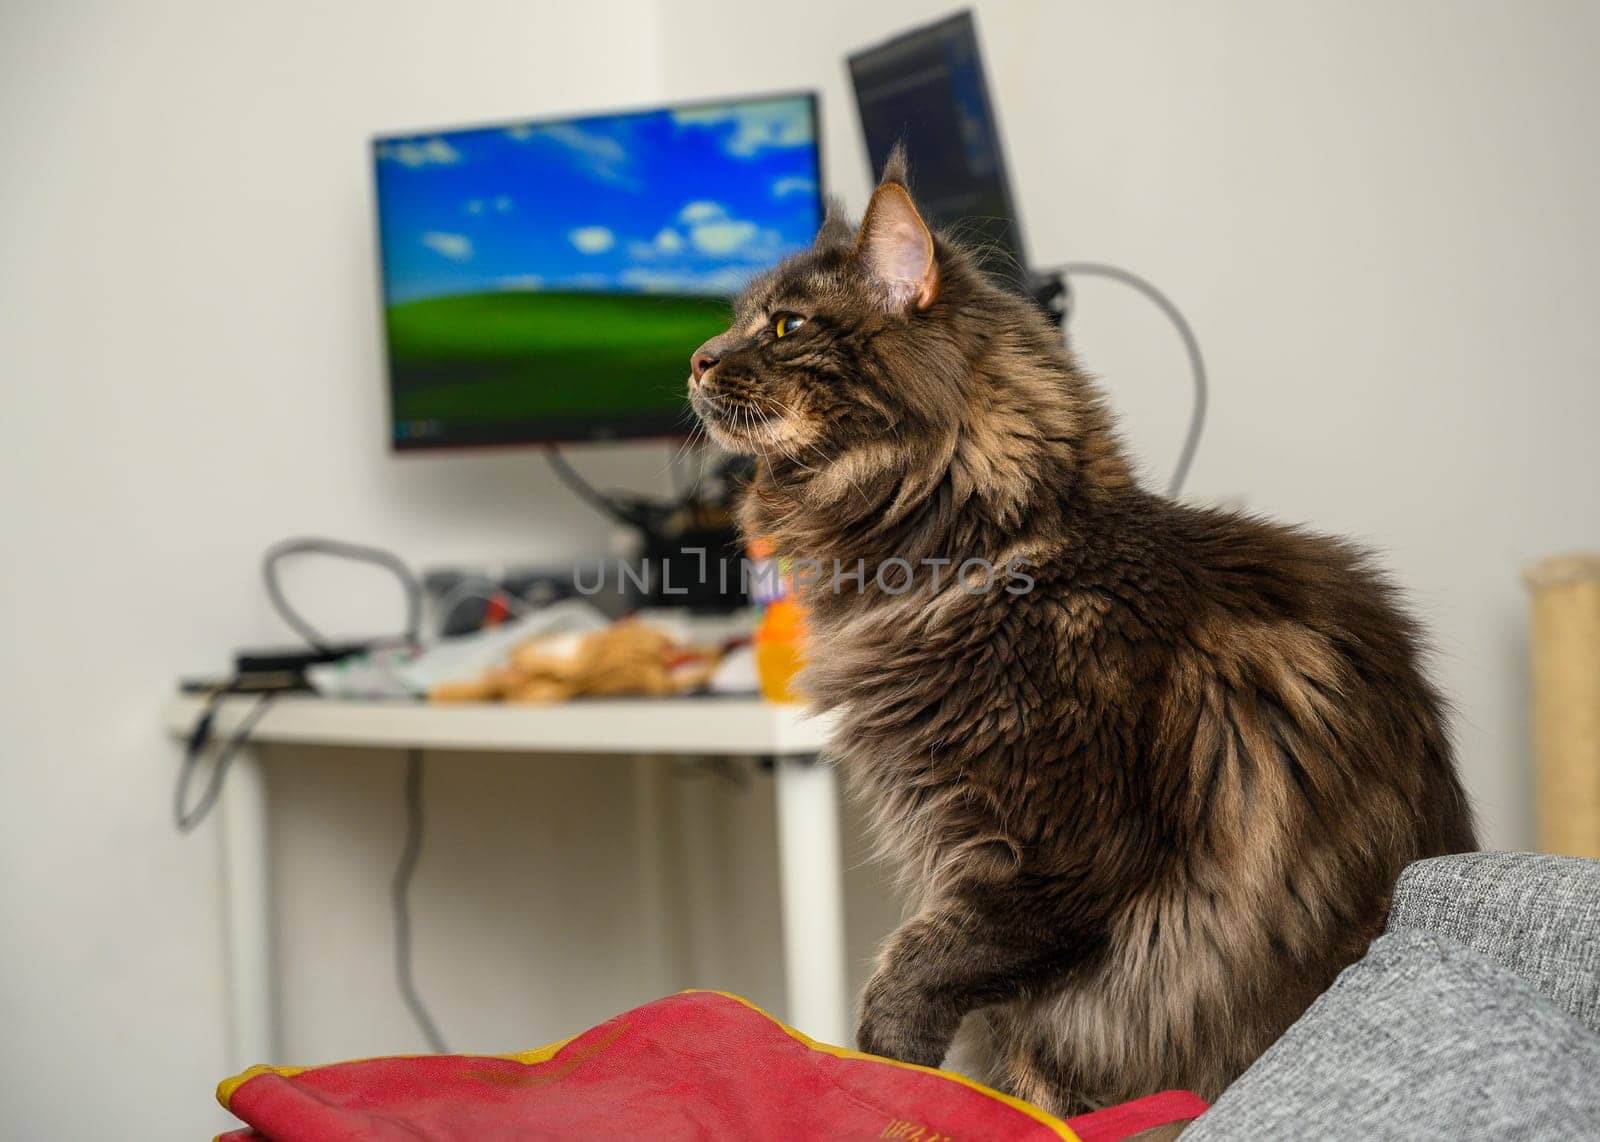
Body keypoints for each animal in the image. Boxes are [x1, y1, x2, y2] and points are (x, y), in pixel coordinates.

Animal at [688, 147, 1472, 1119]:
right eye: (737, 324)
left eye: (785, 324)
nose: (696, 358)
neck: (986, 558)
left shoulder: (1059, 851)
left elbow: (917, 968)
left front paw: (892, 1072)